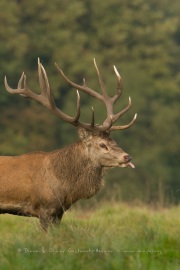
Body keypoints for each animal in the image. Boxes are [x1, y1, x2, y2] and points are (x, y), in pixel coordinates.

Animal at [0, 58, 137, 231]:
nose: (127, 157)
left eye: (114, 141)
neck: (64, 186)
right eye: (102, 145)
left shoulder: (59, 212)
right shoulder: (45, 208)